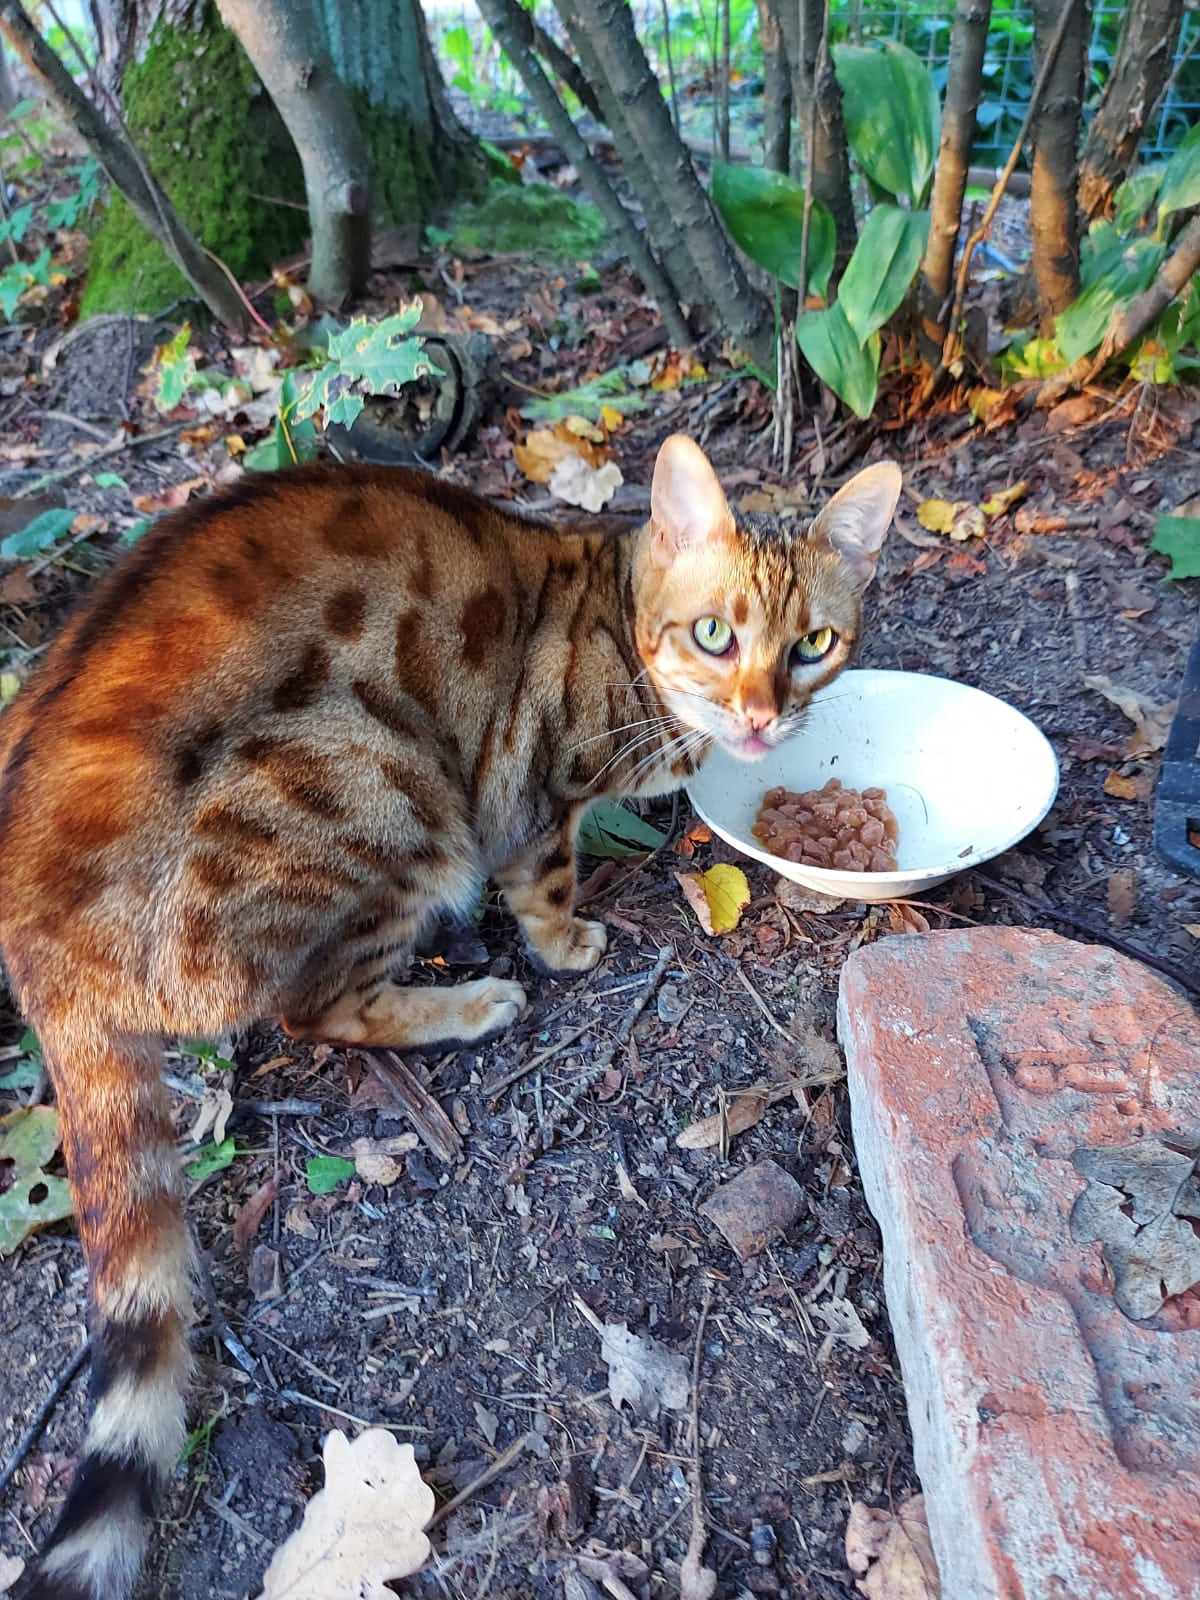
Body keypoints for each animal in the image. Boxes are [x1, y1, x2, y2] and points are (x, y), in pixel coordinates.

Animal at [0, 432, 902, 1593]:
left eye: (815, 644)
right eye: (716, 634)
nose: (760, 715)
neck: (617, 616)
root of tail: (40, 942)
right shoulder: (532, 791)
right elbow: (548, 878)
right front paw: (567, 941)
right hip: (389, 790)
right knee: (312, 1008)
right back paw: (471, 1001)